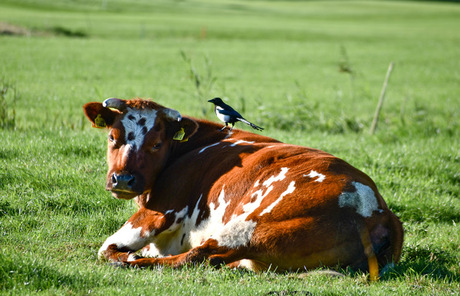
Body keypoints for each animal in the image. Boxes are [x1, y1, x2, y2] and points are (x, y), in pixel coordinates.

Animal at [82, 97, 402, 280]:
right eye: (112, 137)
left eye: (157, 144)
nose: (123, 179)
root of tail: (382, 210)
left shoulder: (161, 210)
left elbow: (106, 248)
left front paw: (128, 256)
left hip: (250, 226)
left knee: (197, 257)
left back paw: (136, 262)